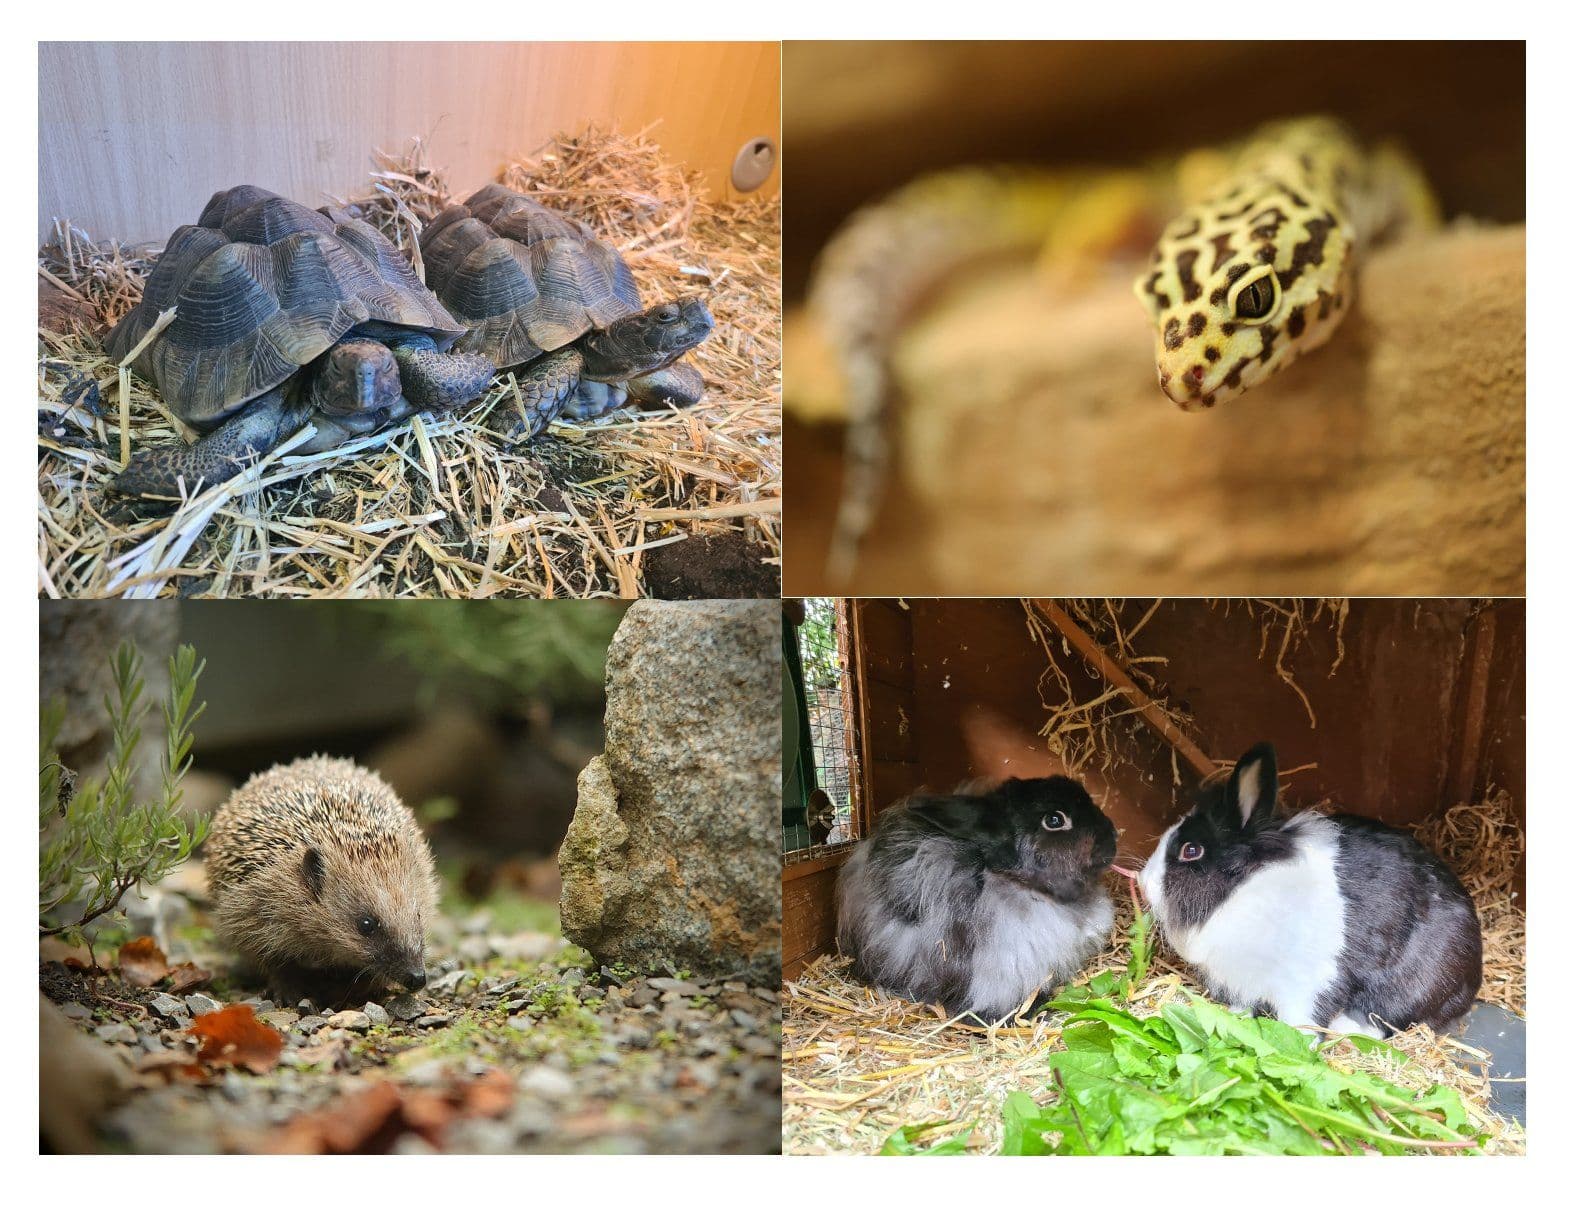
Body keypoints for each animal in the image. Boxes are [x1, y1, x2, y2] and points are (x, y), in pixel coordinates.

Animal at [1140, 742, 1482, 1037]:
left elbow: (1303, 1021)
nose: (1143, 883)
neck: (1243, 891)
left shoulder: (1310, 982)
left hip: (1413, 986)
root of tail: (1474, 976)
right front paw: (1235, 1019)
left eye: (1191, 850)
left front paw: (1298, 1044)